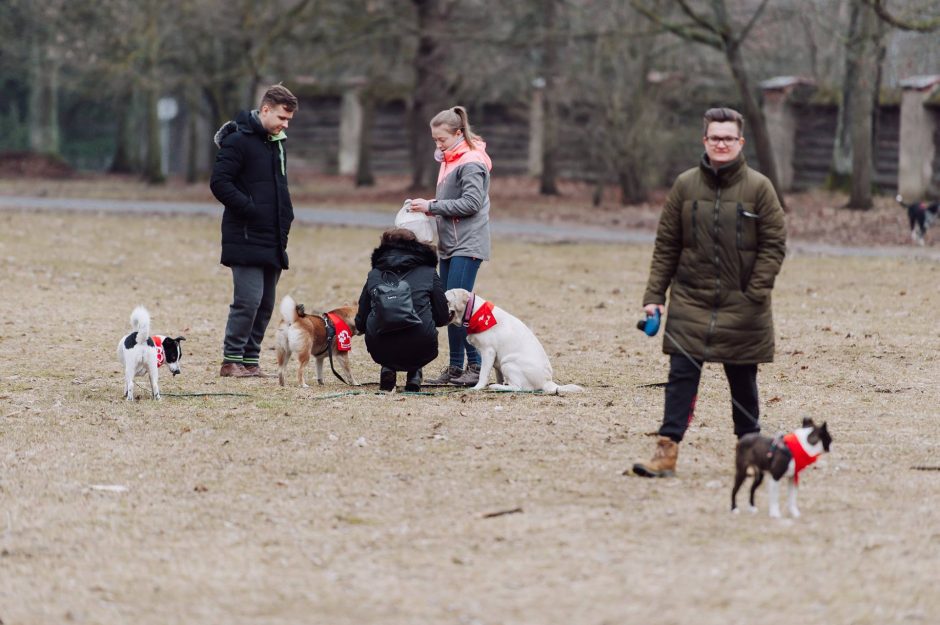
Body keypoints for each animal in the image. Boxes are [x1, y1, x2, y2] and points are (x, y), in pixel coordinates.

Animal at [440, 288, 580, 394]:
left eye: (446, 301)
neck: (473, 312)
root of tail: (548, 382)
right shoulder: (495, 360)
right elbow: (498, 376)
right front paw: (497, 383)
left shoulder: (488, 352)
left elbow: (483, 374)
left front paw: (477, 388)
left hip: (508, 363)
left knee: (519, 387)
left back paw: (496, 387)